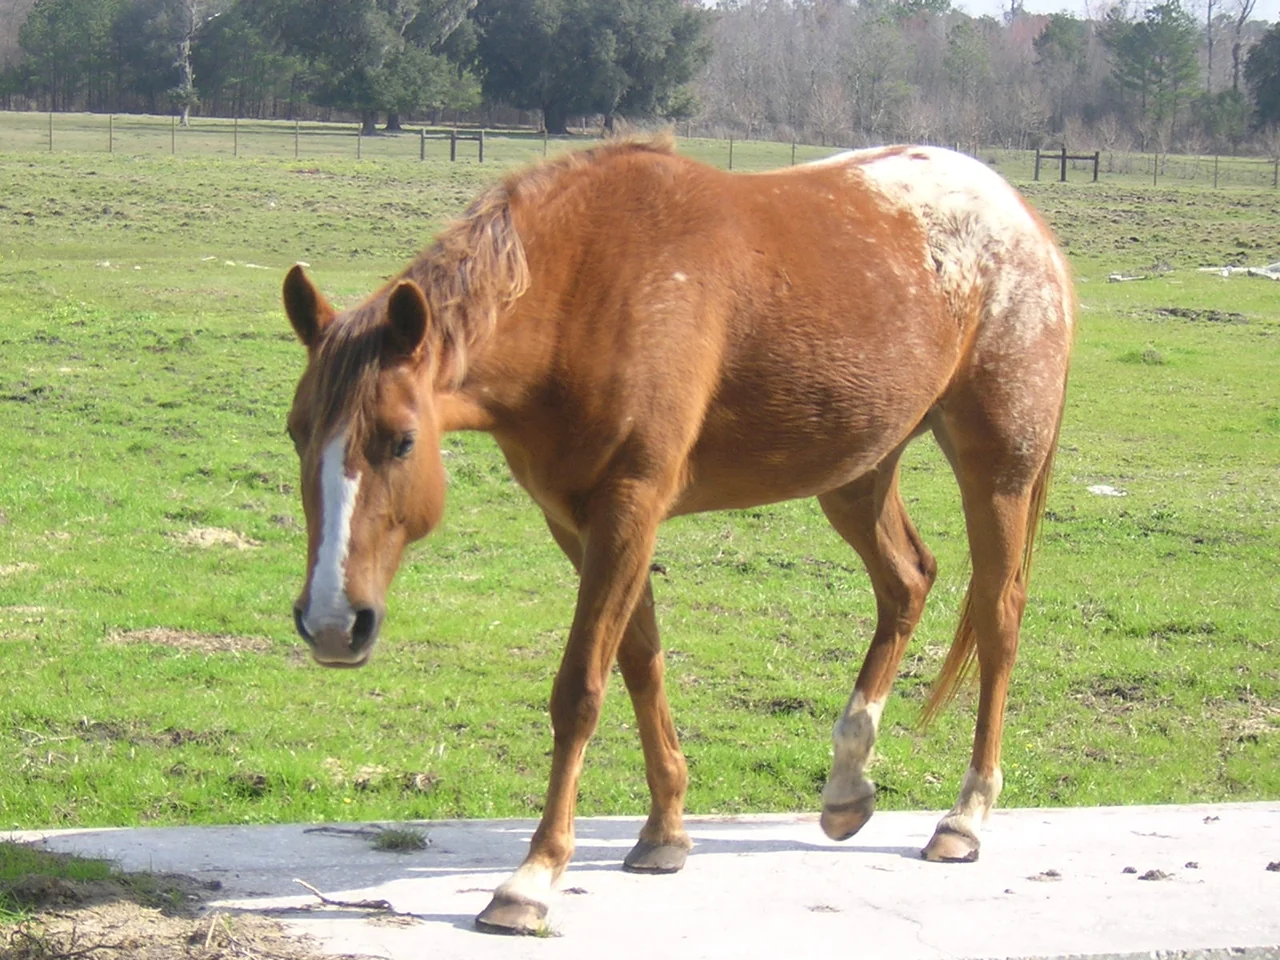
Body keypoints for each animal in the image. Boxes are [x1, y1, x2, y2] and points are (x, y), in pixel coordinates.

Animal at [281, 135, 1073, 935]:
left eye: (402, 441)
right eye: (296, 432)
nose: (333, 623)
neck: (589, 288)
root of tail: (1024, 221)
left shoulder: (629, 505)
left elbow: (581, 689)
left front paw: (533, 877)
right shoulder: (579, 521)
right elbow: (640, 661)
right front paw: (664, 831)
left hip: (996, 472)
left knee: (998, 620)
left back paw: (965, 816)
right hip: (857, 473)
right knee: (907, 582)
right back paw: (848, 784)